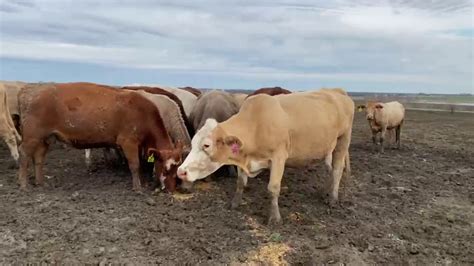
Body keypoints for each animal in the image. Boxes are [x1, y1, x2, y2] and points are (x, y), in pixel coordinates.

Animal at [17, 82, 183, 192]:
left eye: (177, 168)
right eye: (167, 169)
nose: (171, 190)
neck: (142, 112)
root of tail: (31, 92)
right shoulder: (128, 142)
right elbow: (134, 165)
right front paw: (137, 187)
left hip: (44, 138)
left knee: (39, 158)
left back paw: (40, 182)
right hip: (32, 136)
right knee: (24, 154)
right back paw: (24, 184)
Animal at [177, 88, 352, 223]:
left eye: (206, 145)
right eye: (193, 142)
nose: (181, 171)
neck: (256, 125)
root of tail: (336, 90)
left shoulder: (279, 157)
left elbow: (273, 188)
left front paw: (274, 218)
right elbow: (240, 182)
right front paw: (235, 203)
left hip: (343, 140)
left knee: (337, 169)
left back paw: (332, 198)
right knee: (329, 169)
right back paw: (325, 192)